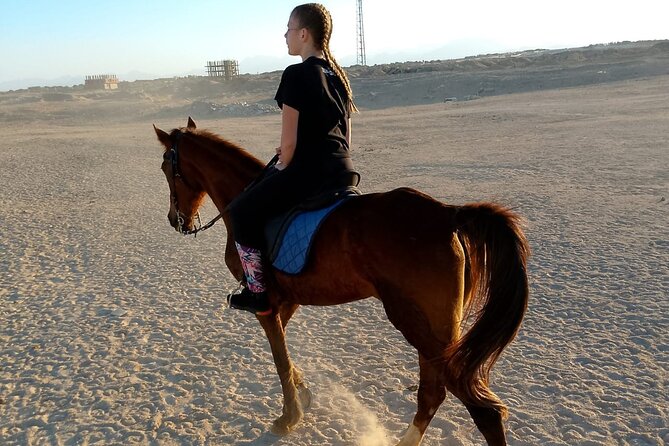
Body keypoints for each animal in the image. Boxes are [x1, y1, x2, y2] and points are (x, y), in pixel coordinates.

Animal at [153, 117, 530, 446]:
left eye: (165, 168)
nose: (174, 219)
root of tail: (449, 214)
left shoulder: (265, 304)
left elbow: (279, 359)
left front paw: (289, 417)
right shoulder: (287, 300)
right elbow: (286, 353)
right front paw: (303, 393)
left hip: (420, 327)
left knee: (482, 411)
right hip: (437, 330)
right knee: (433, 394)